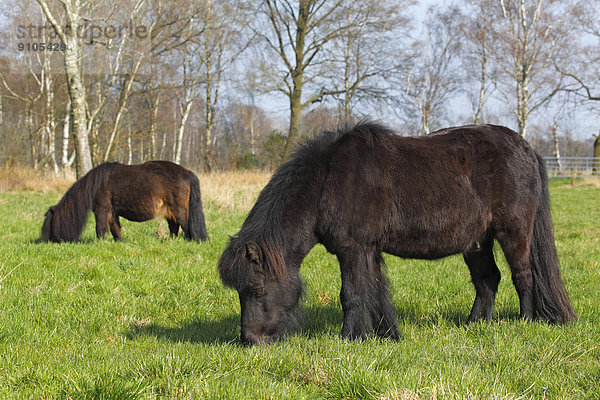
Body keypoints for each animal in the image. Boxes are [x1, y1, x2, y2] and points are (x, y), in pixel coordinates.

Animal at [40, 161, 209, 242]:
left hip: (178, 210)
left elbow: (100, 229)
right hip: (169, 211)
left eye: (50, 223)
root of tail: (187, 172)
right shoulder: (112, 213)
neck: (95, 185)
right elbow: (116, 230)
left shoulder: (101, 210)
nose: (46, 241)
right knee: (174, 228)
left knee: (186, 227)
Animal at [219, 120, 576, 346]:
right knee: (488, 279)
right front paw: (387, 335)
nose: (250, 341)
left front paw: (349, 339)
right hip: (477, 240)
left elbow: (352, 294)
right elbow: (377, 292)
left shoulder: (354, 249)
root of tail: (527, 148)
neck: (327, 181)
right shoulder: (369, 251)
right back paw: (475, 324)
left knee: (523, 275)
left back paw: (526, 321)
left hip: (513, 231)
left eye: (257, 288)